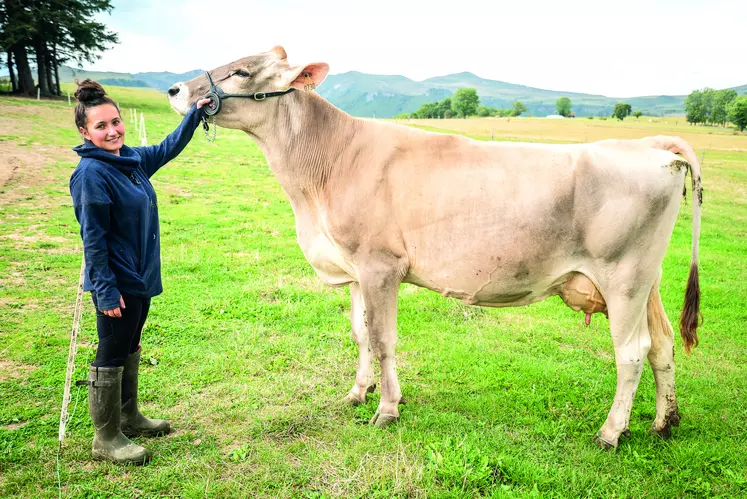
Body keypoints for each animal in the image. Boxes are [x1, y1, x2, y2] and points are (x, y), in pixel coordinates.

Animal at [168, 47, 700, 450]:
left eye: (242, 70)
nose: (175, 90)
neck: (322, 174)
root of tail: (651, 146)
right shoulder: (354, 267)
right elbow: (360, 334)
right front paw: (358, 392)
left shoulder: (379, 265)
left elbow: (383, 338)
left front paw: (387, 408)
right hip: (646, 281)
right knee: (663, 343)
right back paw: (664, 422)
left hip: (623, 278)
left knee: (631, 352)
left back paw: (611, 432)